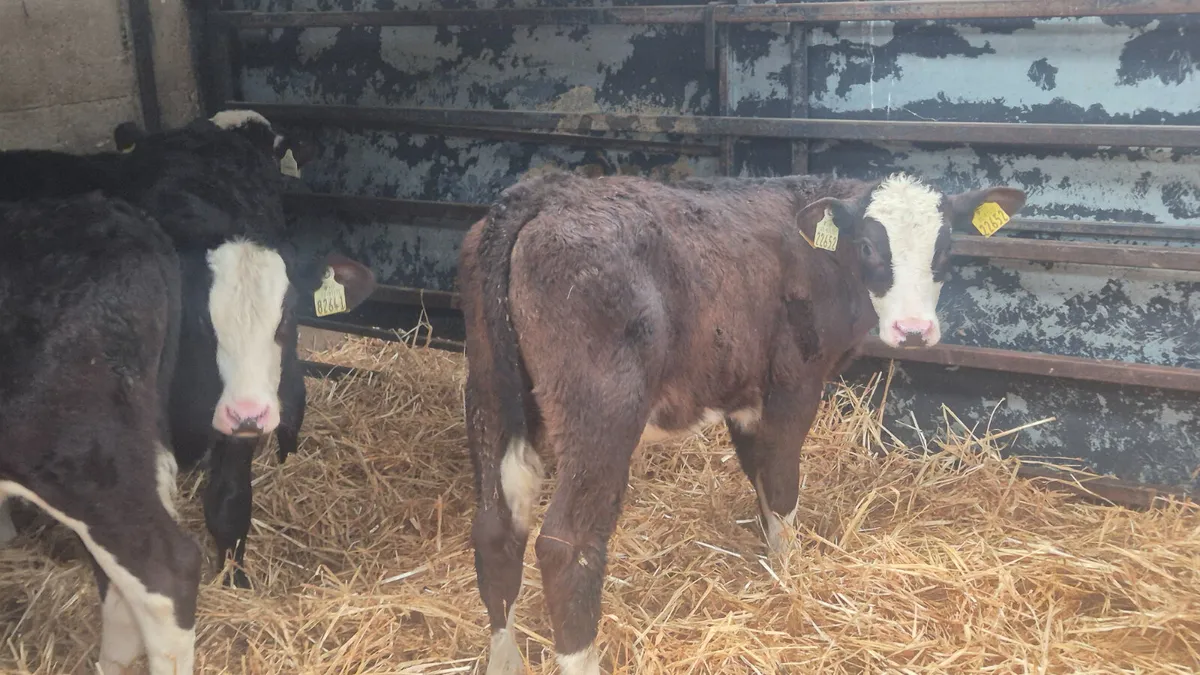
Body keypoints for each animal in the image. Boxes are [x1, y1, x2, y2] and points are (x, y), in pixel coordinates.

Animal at [458, 169, 1027, 674]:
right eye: (868, 246)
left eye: (944, 248)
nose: (913, 330)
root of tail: (544, 192)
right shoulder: (796, 381)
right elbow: (782, 483)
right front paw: (791, 578)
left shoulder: (745, 392)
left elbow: (760, 477)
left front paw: (770, 564)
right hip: (600, 406)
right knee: (565, 545)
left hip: (489, 393)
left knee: (495, 530)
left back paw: (504, 663)